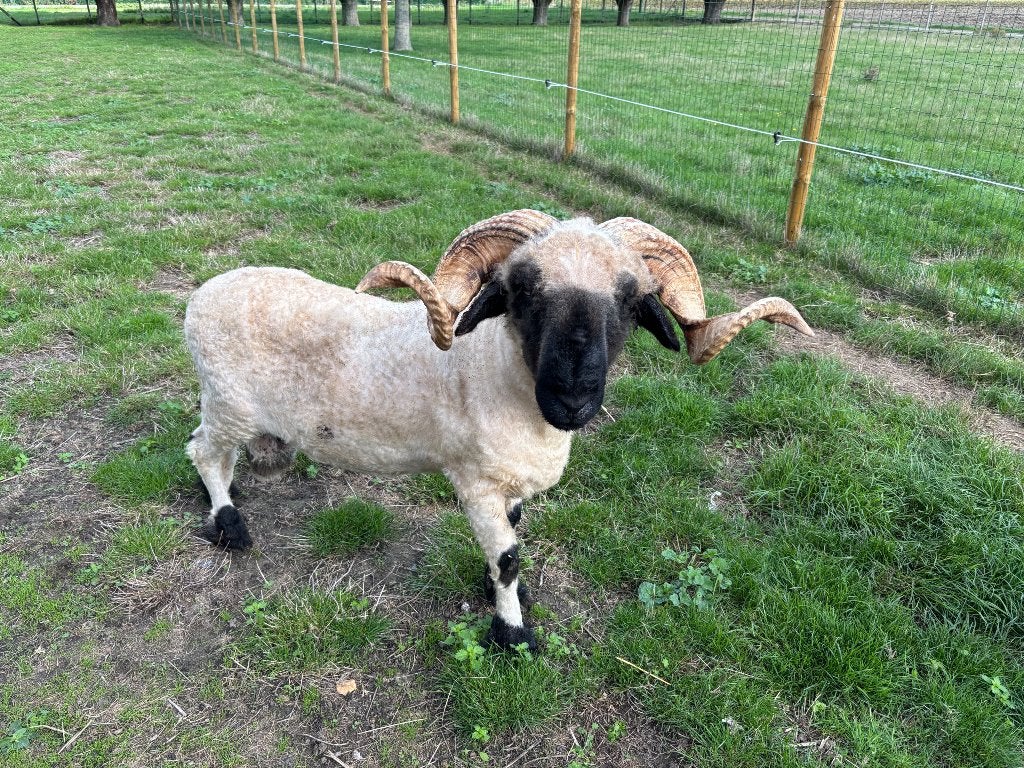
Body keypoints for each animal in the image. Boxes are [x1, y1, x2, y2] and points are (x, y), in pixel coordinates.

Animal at [184, 210, 813, 649]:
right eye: (523, 290)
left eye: (631, 298)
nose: (572, 400)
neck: (495, 371)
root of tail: (201, 295)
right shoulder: (475, 483)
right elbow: (509, 556)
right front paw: (512, 635)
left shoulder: (509, 485)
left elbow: (510, 541)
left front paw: (504, 594)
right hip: (229, 403)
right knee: (203, 453)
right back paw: (229, 525)